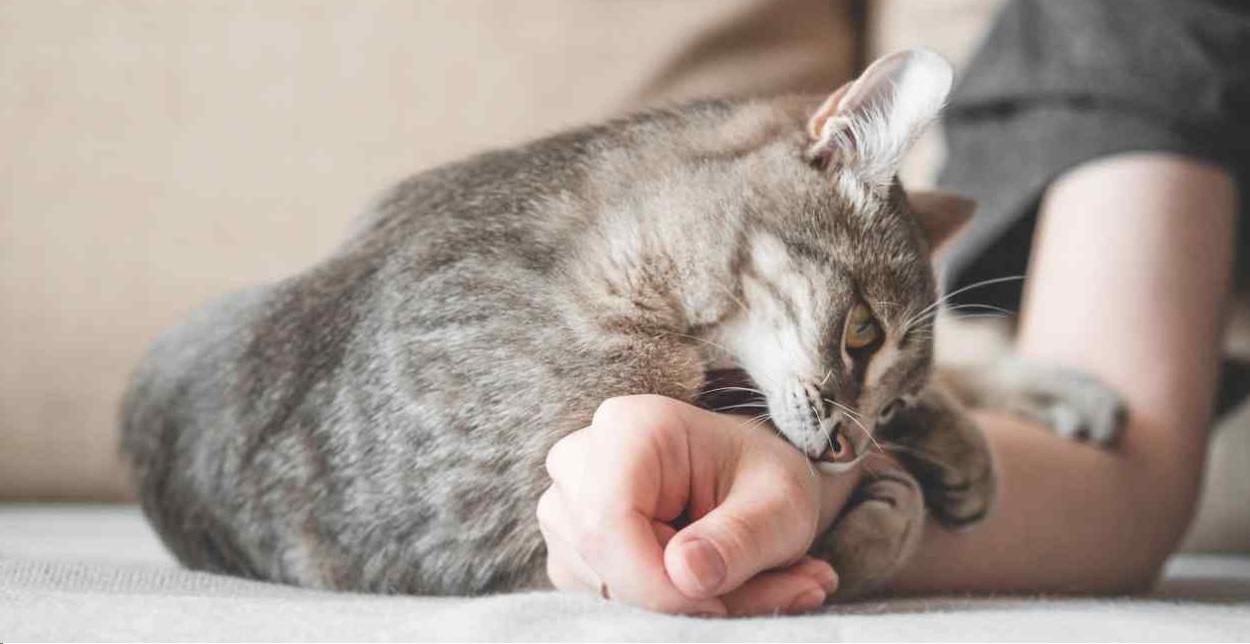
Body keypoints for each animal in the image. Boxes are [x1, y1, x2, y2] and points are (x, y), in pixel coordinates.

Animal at [121, 49, 1130, 600]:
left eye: (891, 395)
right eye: (860, 336)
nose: (855, 444)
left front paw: (949, 437)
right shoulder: (508, 545)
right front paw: (883, 512)